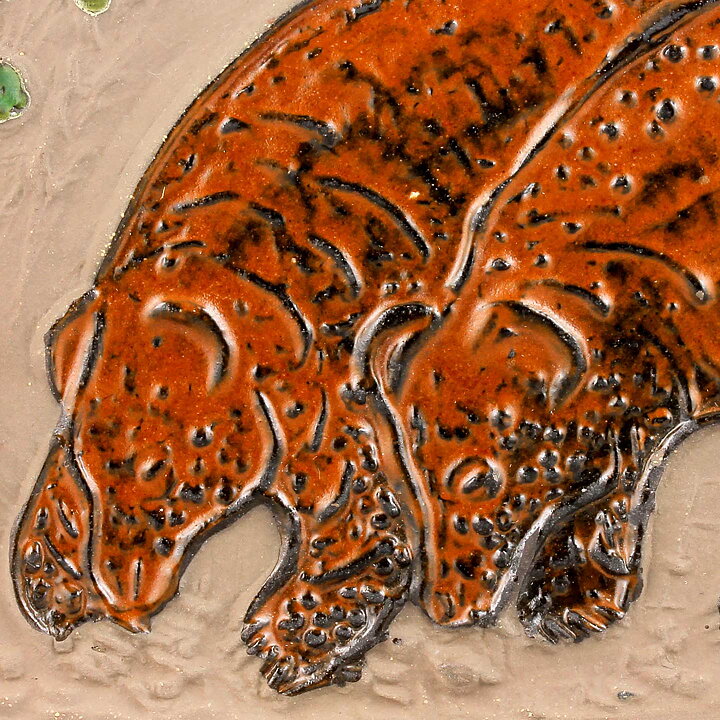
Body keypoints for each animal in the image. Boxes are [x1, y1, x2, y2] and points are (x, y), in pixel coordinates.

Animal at [11, 0, 720, 695]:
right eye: (94, 463)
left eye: (180, 482)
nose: (124, 604)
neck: (226, 260)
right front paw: (50, 576)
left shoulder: (333, 402)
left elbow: (371, 544)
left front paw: (287, 645)